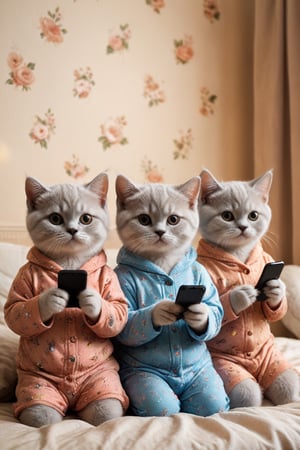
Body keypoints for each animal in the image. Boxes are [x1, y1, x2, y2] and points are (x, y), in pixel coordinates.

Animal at [113, 174, 230, 416]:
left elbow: (214, 309)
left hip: (204, 379)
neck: (162, 264)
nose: (160, 232)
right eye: (144, 219)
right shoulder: (121, 283)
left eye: (173, 220)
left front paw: (199, 315)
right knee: (161, 404)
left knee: (210, 401)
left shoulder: (203, 279)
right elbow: (128, 324)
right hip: (147, 383)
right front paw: (161, 311)